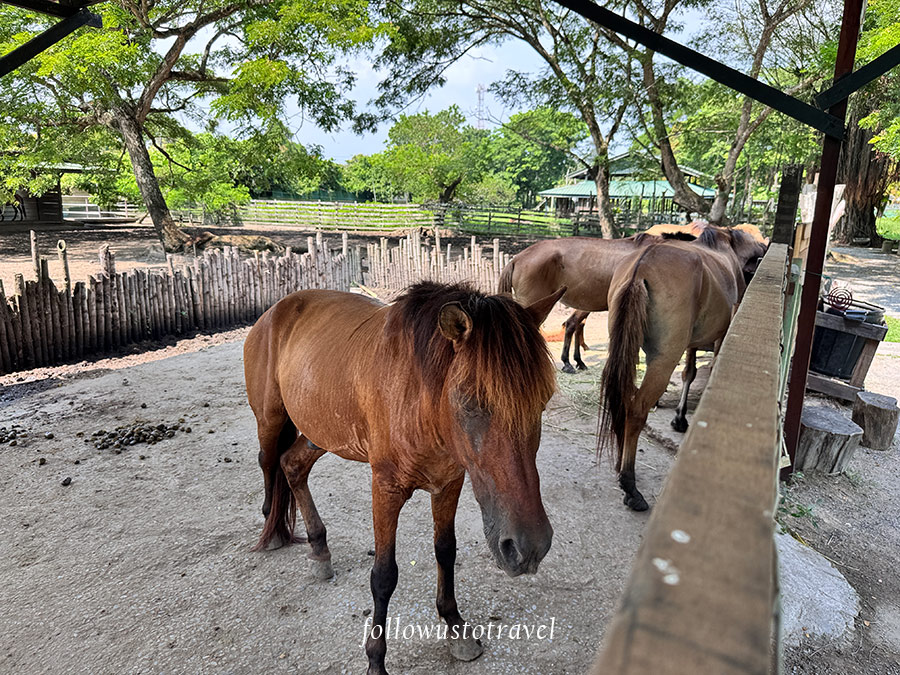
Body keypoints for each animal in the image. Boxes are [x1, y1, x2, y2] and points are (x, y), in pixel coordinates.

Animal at [243, 281, 564, 675]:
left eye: (543, 401)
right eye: (470, 401)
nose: (530, 548)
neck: (420, 399)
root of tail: (275, 311)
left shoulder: (449, 483)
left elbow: (445, 551)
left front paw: (455, 627)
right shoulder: (385, 489)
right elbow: (384, 576)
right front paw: (375, 660)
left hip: (322, 431)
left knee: (292, 466)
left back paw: (319, 550)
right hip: (270, 420)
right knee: (268, 462)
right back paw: (272, 532)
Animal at [598, 226, 768, 511]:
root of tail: (642, 266)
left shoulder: (692, 343)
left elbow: (689, 372)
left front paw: (680, 417)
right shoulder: (720, 337)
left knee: (623, 399)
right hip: (663, 360)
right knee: (636, 409)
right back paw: (630, 485)